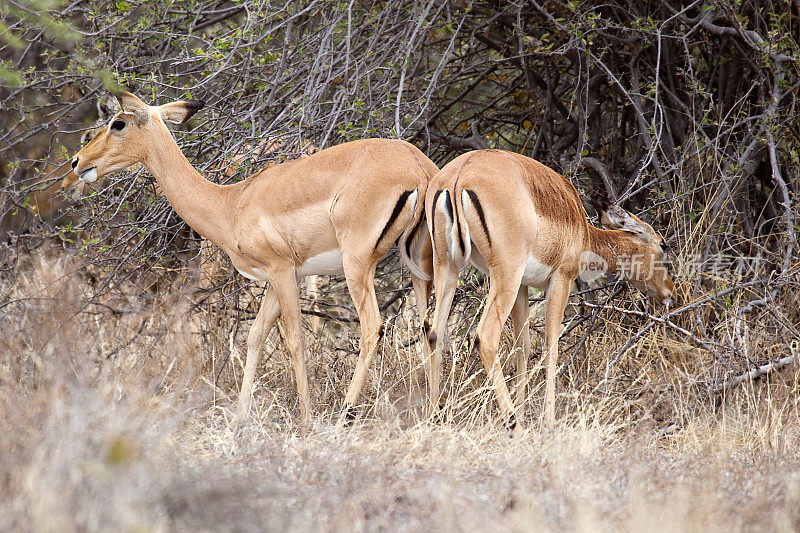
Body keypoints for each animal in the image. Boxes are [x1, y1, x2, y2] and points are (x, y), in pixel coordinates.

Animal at [73, 92, 438, 432]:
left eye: (118, 123)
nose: (77, 161)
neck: (232, 203)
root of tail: (418, 167)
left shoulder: (281, 271)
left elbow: (294, 339)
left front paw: (305, 420)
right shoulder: (278, 278)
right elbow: (256, 336)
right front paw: (239, 418)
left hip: (358, 265)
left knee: (372, 326)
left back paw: (345, 416)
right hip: (421, 265)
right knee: (429, 325)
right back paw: (431, 411)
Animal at [424, 148, 676, 430]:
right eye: (663, 246)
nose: (670, 293)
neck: (582, 230)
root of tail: (460, 174)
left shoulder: (523, 288)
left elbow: (522, 347)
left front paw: (525, 412)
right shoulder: (560, 281)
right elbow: (551, 348)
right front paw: (548, 421)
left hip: (448, 266)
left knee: (434, 334)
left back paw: (435, 417)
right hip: (505, 276)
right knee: (485, 338)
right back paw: (513, 423)